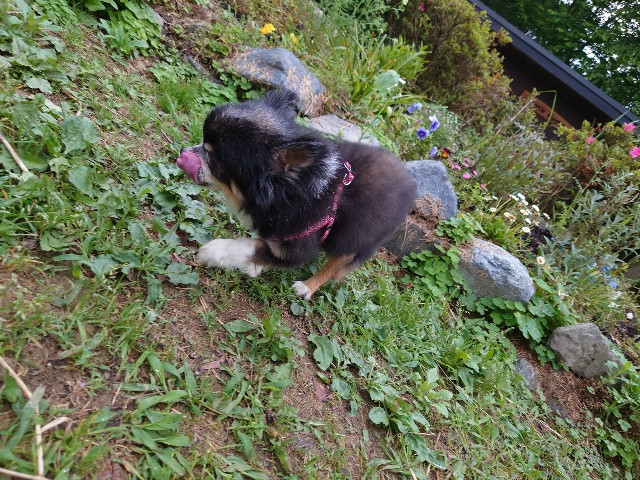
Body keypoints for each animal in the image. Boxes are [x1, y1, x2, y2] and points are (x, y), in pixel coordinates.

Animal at [177, 89, 417, 299]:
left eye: (214, 159)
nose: (182, 152)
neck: (287, 191)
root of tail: (410, 183)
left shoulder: (295, 247)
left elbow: (252, 247)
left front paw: (214, 252)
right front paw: (254, 268)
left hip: (357, 241)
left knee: (334, 267)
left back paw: (307, 287)